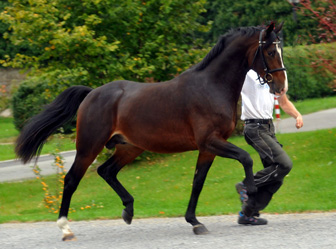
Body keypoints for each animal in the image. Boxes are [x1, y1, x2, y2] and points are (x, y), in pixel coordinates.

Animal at [15, 22, 286, 240]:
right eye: (271, 52)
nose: (281, 87)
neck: (210, 86)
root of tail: (92, 93)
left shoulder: (208, 148)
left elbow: (197, 182)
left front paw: (195, 222)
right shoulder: (211, 141)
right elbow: (246, 158)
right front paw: (250, 197)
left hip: (129, 147)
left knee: (107, 171)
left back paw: (128, 210)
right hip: (88, 147)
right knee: (71, 180)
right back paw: (66, 228)